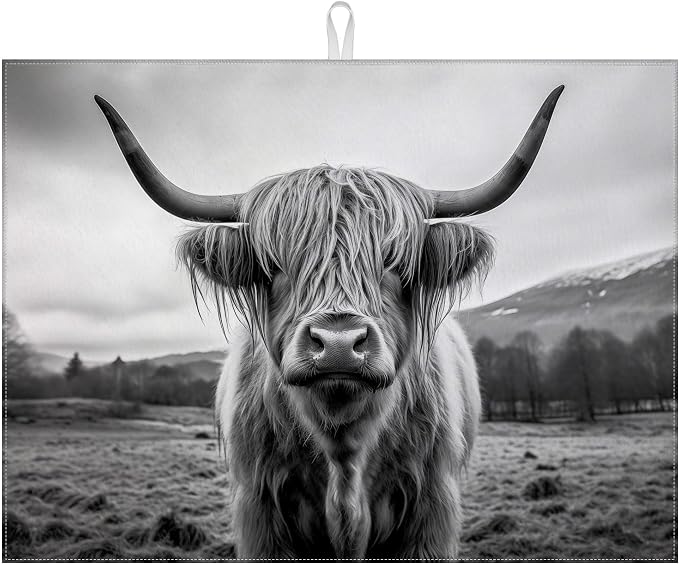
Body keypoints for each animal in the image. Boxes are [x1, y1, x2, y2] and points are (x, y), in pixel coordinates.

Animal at [95, 85, 563, 559]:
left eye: (395, 263)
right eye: (276, 267)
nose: (339, 344)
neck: (344, 450)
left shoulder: (431, 506)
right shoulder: (260, 509)